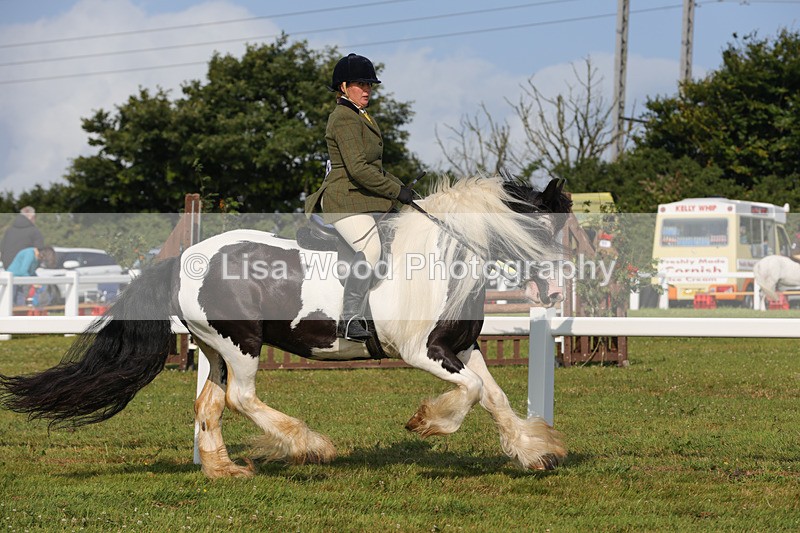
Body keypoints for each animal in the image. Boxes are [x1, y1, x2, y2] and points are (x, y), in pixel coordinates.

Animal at [0, 175, 572, 479]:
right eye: (540, 231)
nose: (554, 294)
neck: (440, 257)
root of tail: (184, 258)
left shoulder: (462, 347)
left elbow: (493, 395)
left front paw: (534, 452)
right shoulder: (421, 352)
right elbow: (471, 392)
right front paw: (428, 422)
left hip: (215, 348)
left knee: (209, 404)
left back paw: (225, 470)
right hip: (242, 343)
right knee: (241, 399)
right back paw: (309, 445)